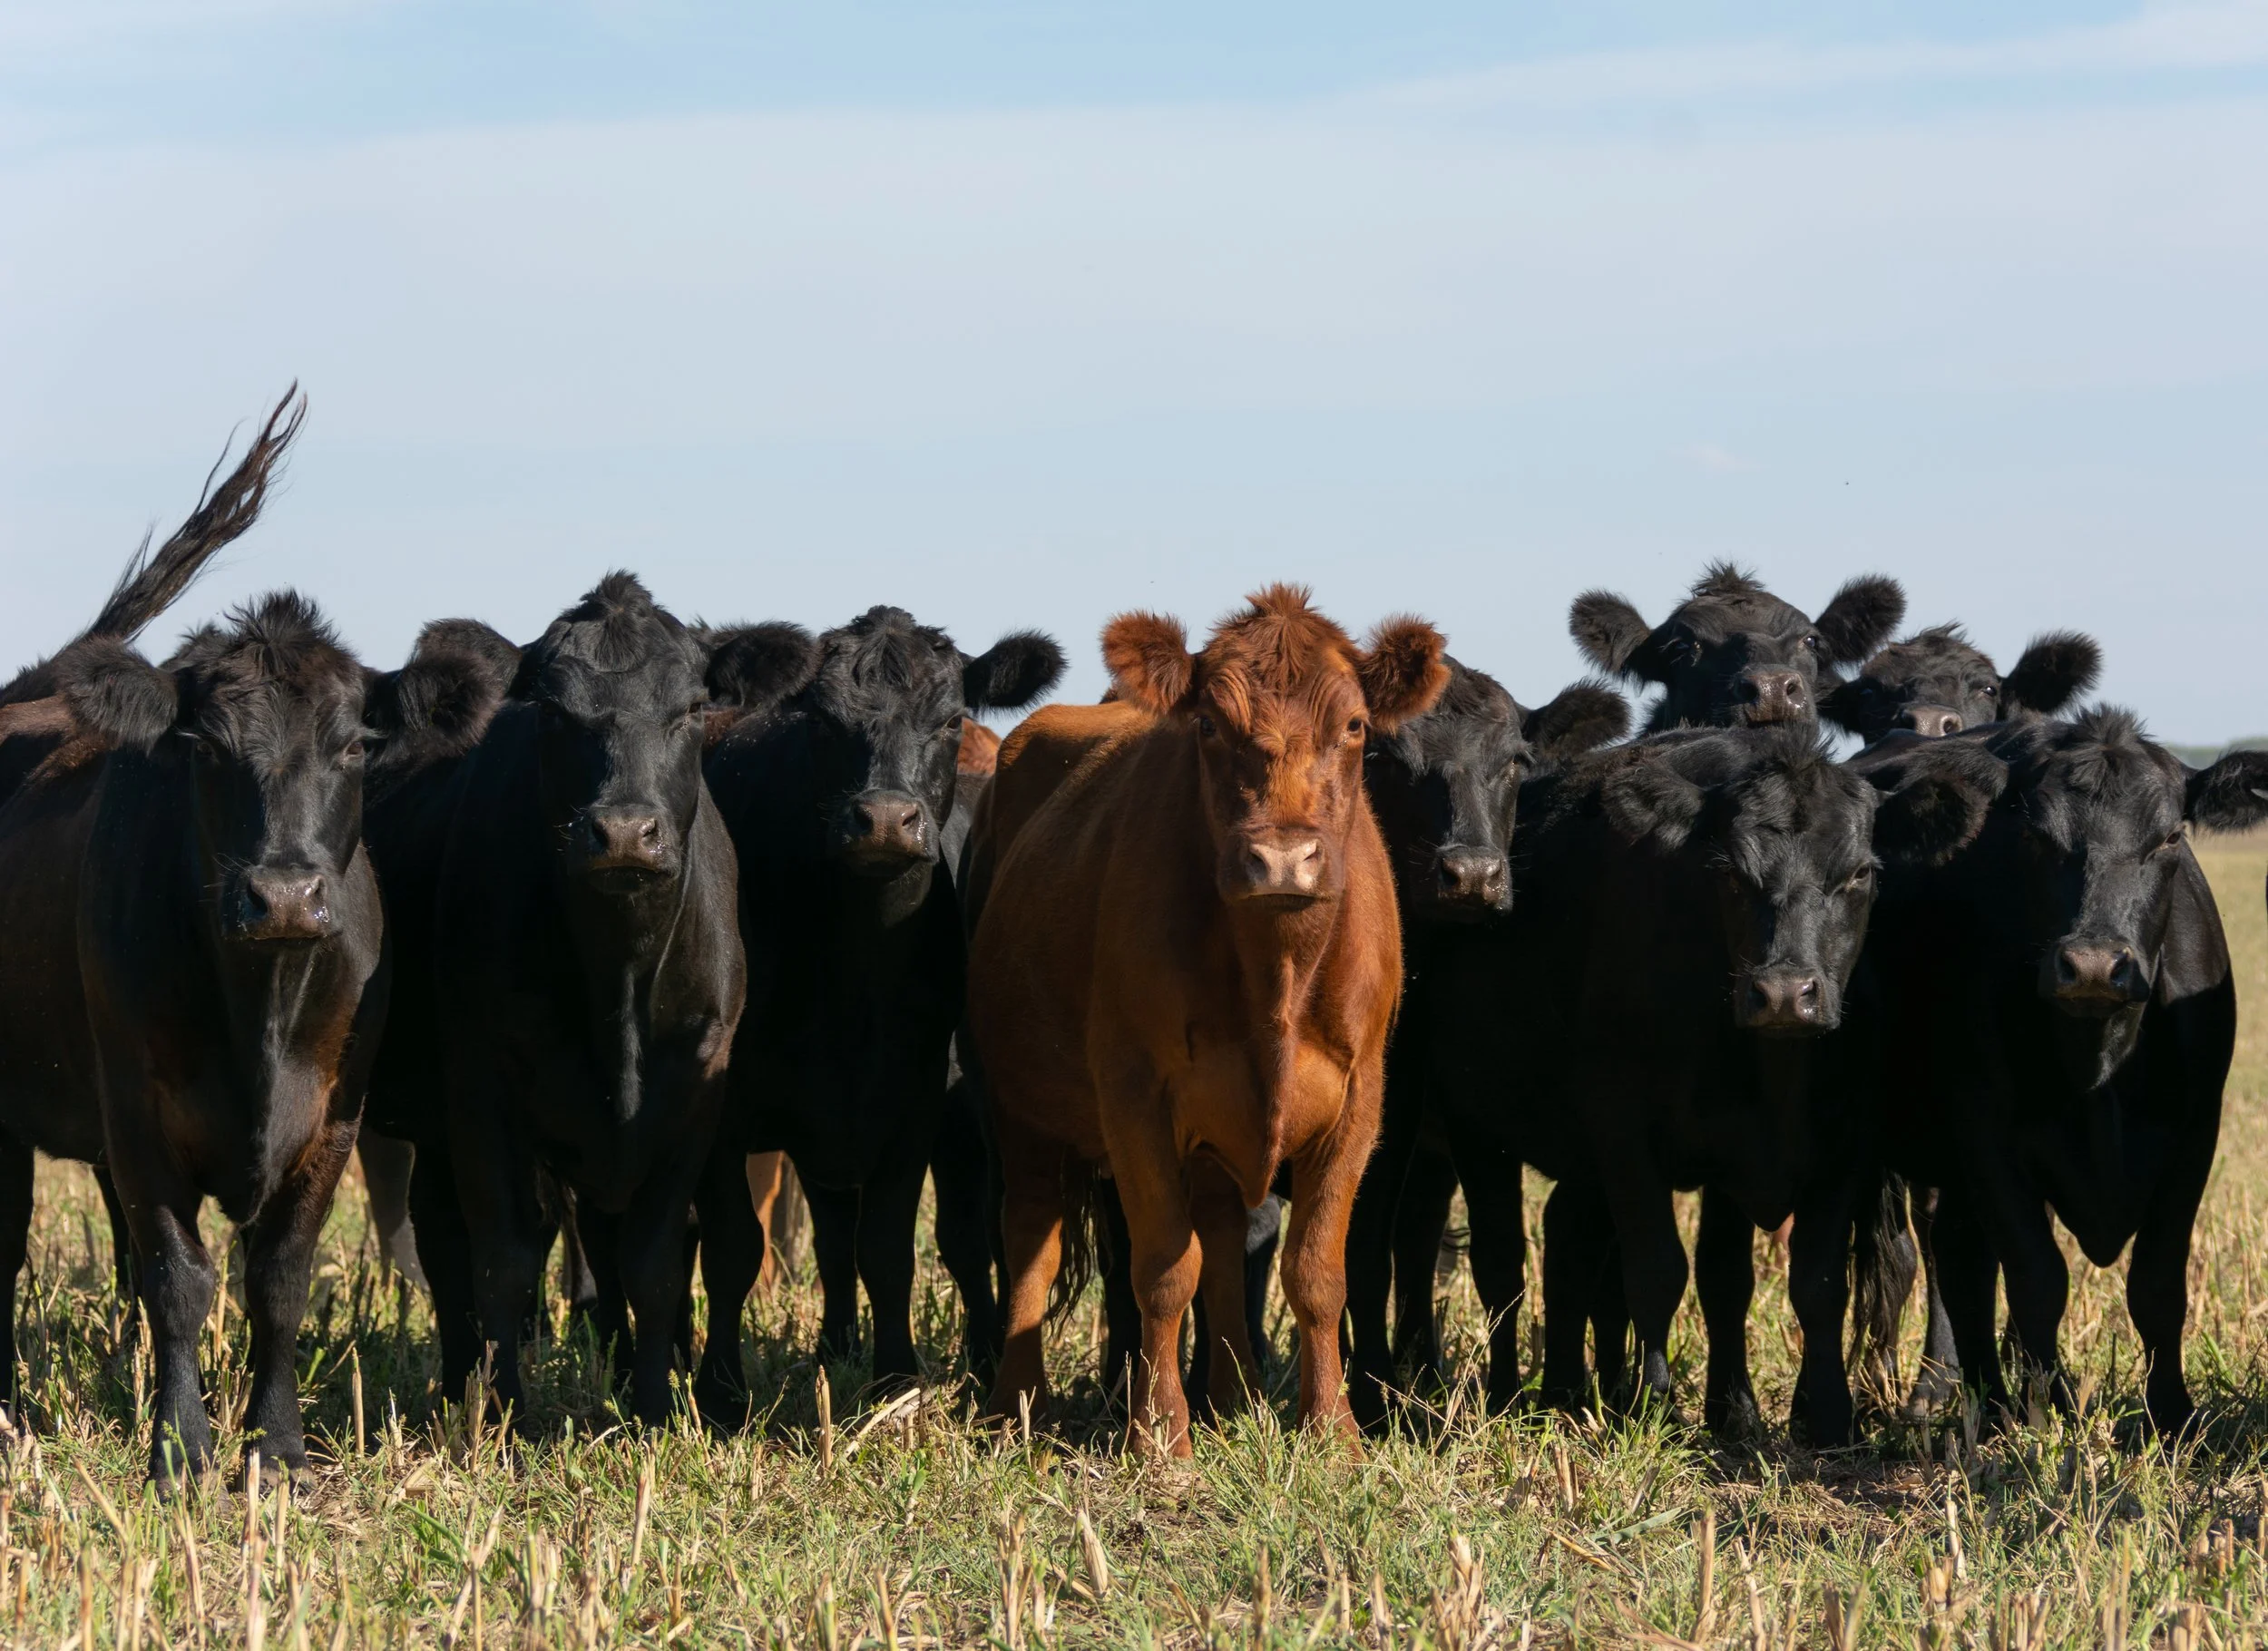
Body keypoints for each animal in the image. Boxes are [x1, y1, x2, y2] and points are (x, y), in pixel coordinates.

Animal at [361, 576, 760, 1427]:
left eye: (690, 708)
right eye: (552, 712)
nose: (624, 832)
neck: (620, 983)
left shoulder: (694, 1101)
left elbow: (654, 1264)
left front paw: (653, 1411)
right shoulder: (483, 1090)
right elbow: (505, 1261)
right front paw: (505, 1418)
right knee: (447, 1245)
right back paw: (459, 1387)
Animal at [692, 608, 1062, 1418]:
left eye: (951, 719)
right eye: (824, 722)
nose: (887, 820)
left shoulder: (913, 1105)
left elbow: (892, 1251)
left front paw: (897, 1382)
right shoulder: (722, 1111)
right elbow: (732, 1248)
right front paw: (721, 1393)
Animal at [963, 585, 1447, 1455]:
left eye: (1355, 726)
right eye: (1210, 726)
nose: (1283, 860)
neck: (1274, 978)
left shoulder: (1360, 1100)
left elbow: (1315, 1273)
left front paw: (1332, 1436)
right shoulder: (1133, 1097)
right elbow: (1163, 1270)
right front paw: (1160, 1439)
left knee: (1223, 1242)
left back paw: (1234, 1400)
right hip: (1021, 1109)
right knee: (1031, 1242)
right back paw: (1017, 1407)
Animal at [1341, 660, 1629, 1427]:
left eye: (1516, 763)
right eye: (1385, 757)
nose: (1471, 876)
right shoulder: (1475, 1127)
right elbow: (1501, 1257)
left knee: (1413, 1239)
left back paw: (1422, 1368)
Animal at [1855, 712, 2268, 1434]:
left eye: (2170, 837)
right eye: (2036, 836)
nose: (2095, 966)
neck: (2098, 1067)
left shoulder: (2196, 1135)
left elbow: (2157, 1285)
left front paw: (2173, 1416)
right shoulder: (1985, 1131)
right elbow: (2036, 1278)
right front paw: (2041, 1418)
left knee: (1956, 1253)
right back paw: (1964, 1397)